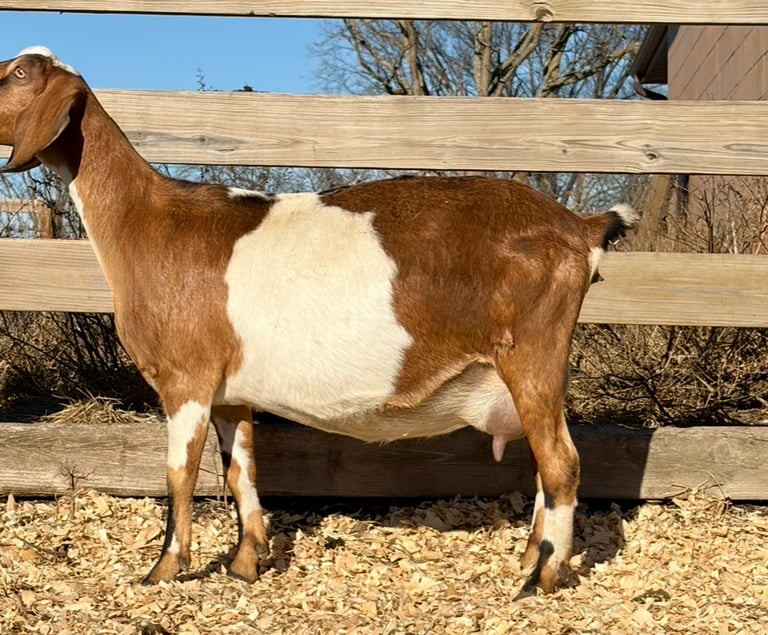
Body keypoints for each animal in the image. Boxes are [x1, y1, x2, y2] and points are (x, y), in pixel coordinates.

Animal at [0, 47, 637, 597]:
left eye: (17, 72)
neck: (149, 221)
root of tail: (580, 227)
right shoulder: (231, 391)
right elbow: (240, 470)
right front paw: (246, 563)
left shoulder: (186, 379)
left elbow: (179, 473)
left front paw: (163, 570)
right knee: (545, 463)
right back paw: (529, 558)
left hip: (532, 354)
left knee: (562, 462)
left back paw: (542, 578)